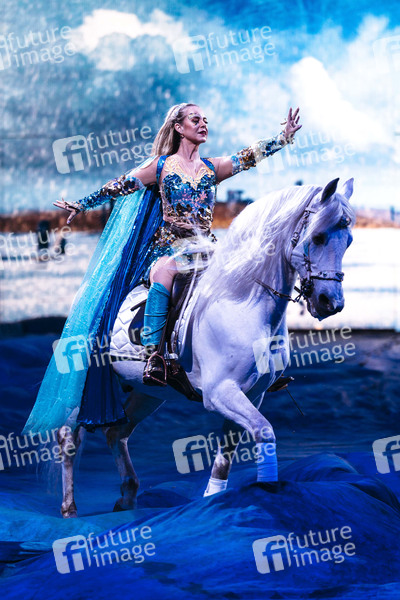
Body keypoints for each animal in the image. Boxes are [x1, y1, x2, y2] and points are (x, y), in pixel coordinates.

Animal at [57, 176, 355, 517]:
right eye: (317, 237)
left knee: (116, 432)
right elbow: (265, 431)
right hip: (80, 389)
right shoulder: (220, 392)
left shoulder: (251, 394)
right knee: (68, 437)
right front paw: (267, 490)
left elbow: (227, 455)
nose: (331, 303)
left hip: (148, 392)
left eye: (348, 241)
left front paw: (214, 499)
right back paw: (69, 508)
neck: (242, 300)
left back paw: (128, 497)